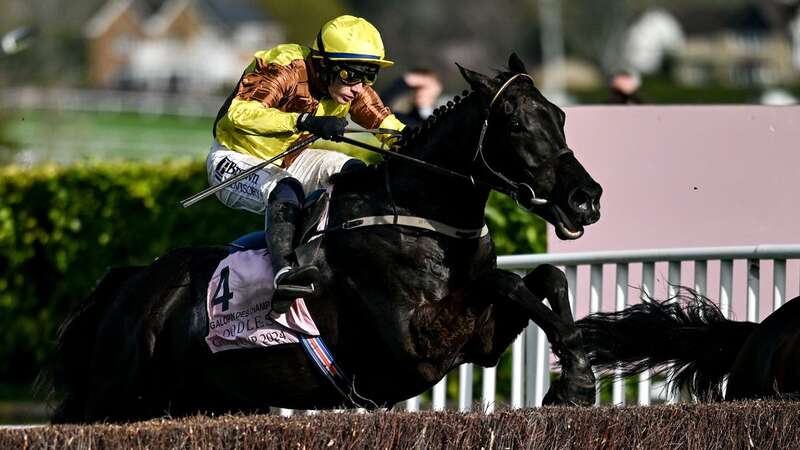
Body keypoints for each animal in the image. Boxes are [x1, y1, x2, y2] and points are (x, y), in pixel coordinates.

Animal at [47, 54, 604, 424]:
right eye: (514, 122)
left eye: (560, 116)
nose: (586, 197)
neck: (423, 219)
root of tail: (130, 283)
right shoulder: (415, 344)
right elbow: (506, 283)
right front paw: (577, 377)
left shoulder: (480, 342)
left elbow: (545, 277)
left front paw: (574, 375)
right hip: (115, 397)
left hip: (199, 400)